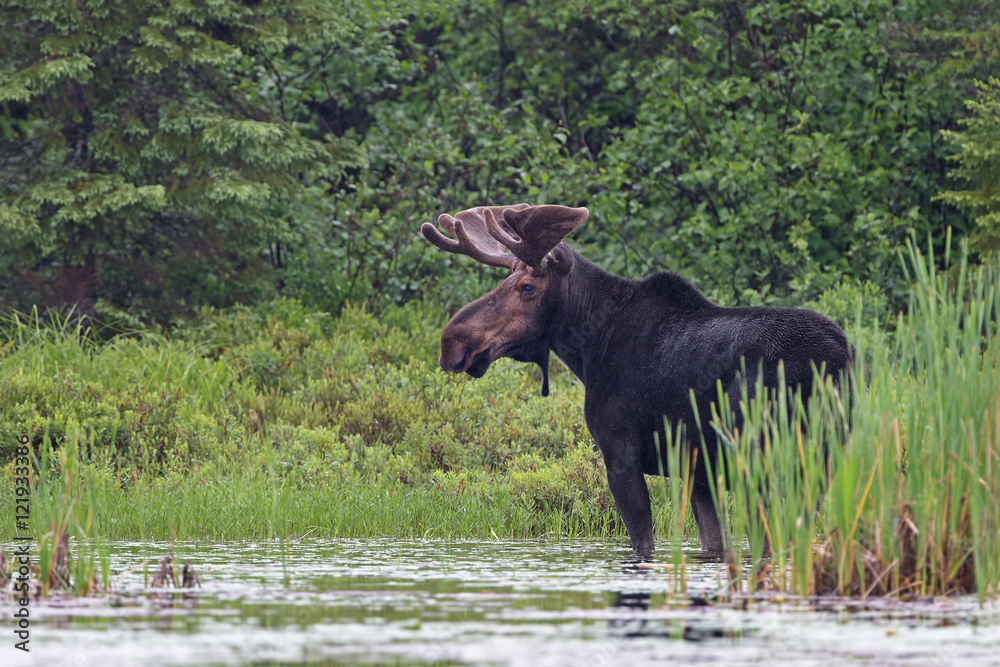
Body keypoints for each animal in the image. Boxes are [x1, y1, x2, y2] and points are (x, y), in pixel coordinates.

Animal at [421, 203, 852, 559]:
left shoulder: (620, 455)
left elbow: (643, 542)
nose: (453, 340)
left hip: (765, 456)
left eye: (527, 287)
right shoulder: (698, 471)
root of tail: (838, 361)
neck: (589, 348)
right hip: (820, 457)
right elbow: (713, 544)